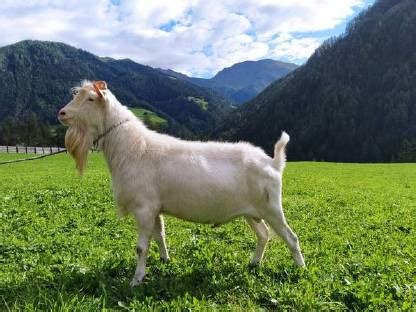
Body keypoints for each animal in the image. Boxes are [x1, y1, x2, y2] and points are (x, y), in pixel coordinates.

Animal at [57, 80, 306, 286]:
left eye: (90, 98)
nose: (62, 113)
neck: (133, 148)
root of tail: (273, 162)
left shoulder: (143, 207)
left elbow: (141, 247)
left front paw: (136, 280)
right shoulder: (155, 208)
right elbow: (159, 236)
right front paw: (165, 260)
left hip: (272, 207)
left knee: (291, 237)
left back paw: (301, 270)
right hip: (251, 211)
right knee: (263, 235)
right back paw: (254, 263)